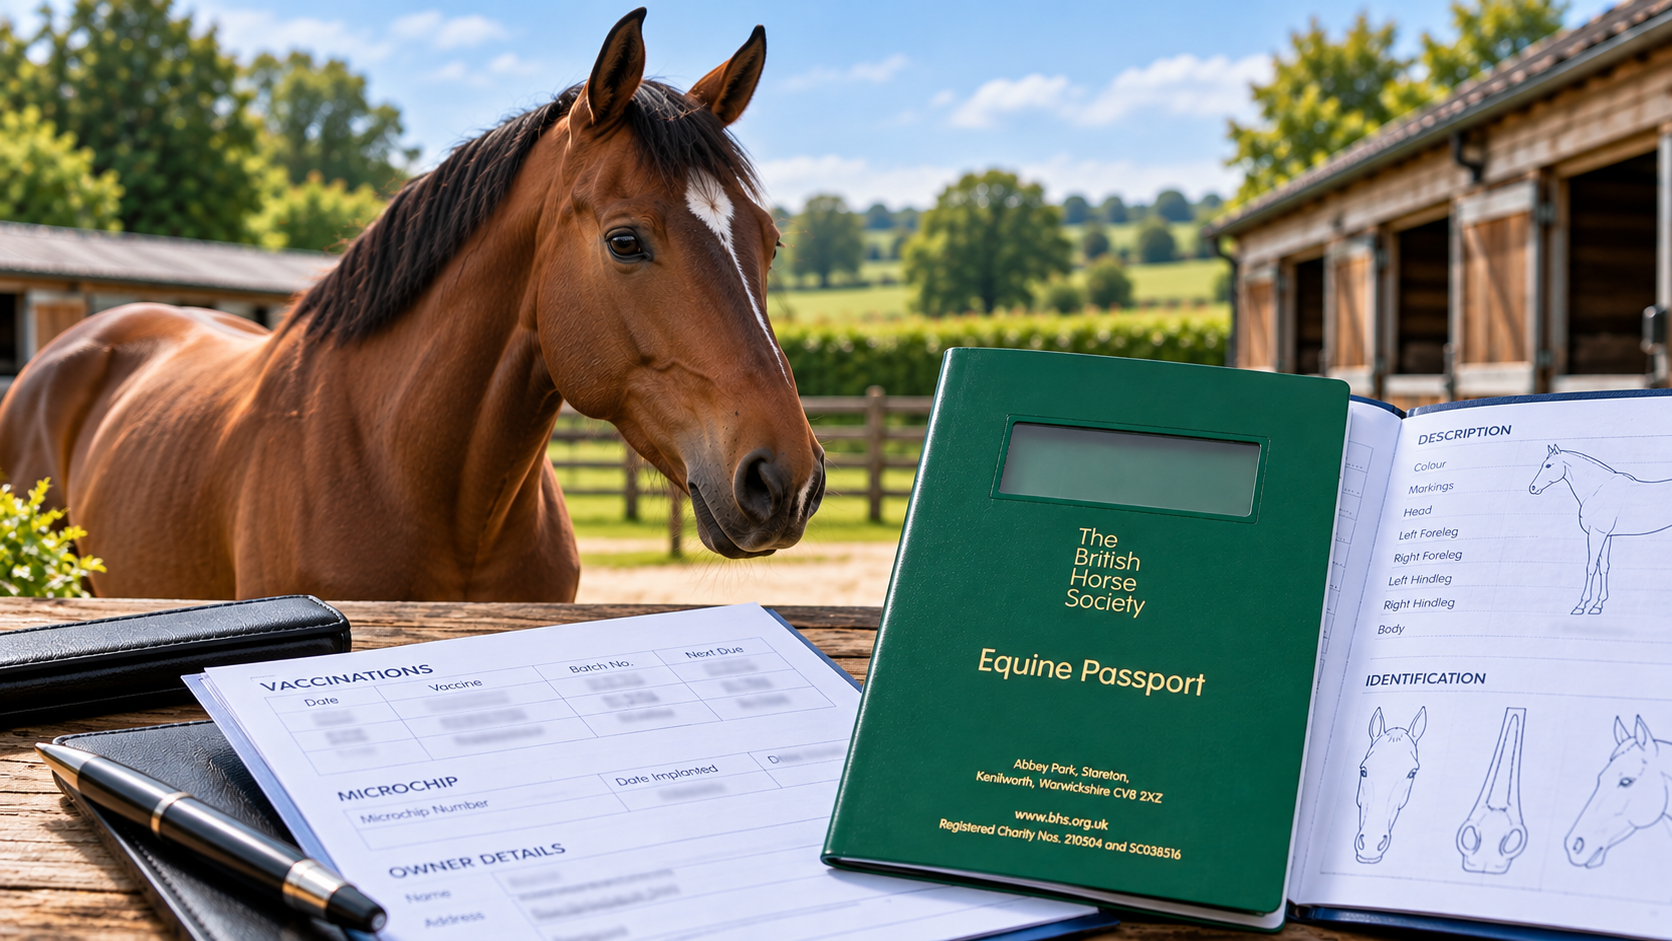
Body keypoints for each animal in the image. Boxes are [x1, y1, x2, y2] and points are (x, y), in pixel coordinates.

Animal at [1528, 444, 1672, 615]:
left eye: (1549, 465)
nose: (1533, 488)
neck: (1597, 490)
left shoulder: (1596, 534)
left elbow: (1591, 566)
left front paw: (1581, 605)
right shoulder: (1606, 536)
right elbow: (1604, 567)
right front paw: (1598, 605)